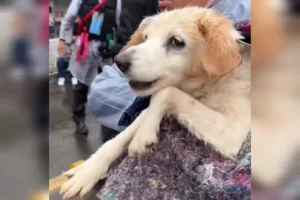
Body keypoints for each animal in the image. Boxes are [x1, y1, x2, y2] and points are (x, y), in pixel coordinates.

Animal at [59, 7, 250, 199]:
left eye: (176, 41)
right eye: (146, 37)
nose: (119, 61)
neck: (210, 83)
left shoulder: (233, 132)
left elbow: (165, 93)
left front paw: (142, 137)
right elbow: (124, 133)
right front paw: (87, 170)